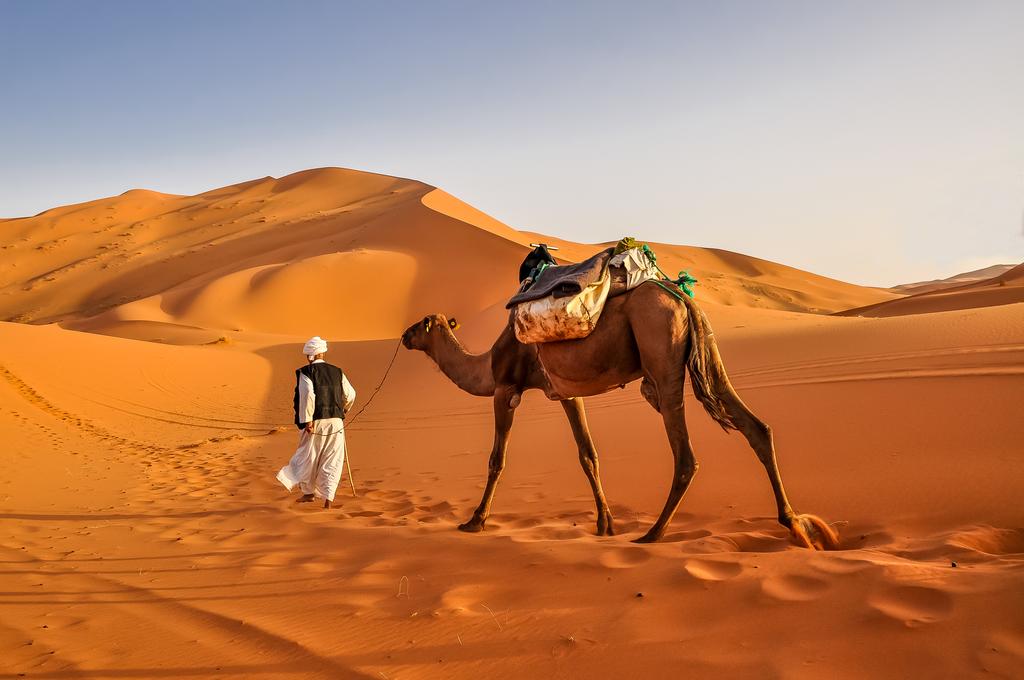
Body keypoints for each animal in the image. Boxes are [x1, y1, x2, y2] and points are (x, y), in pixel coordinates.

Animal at [399, 278, 839, 548]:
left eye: (421, 324)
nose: (403, 336)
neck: (486, 364)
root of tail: (681, 298)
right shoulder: (566, 393)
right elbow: (588, 455)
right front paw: (604, 524)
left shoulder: (506, 388)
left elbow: (496, 459)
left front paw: (474, 521)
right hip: (708, 354)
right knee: (757, 428)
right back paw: (796, 525)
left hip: (662, 359)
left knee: (686, 456)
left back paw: (652, 534)